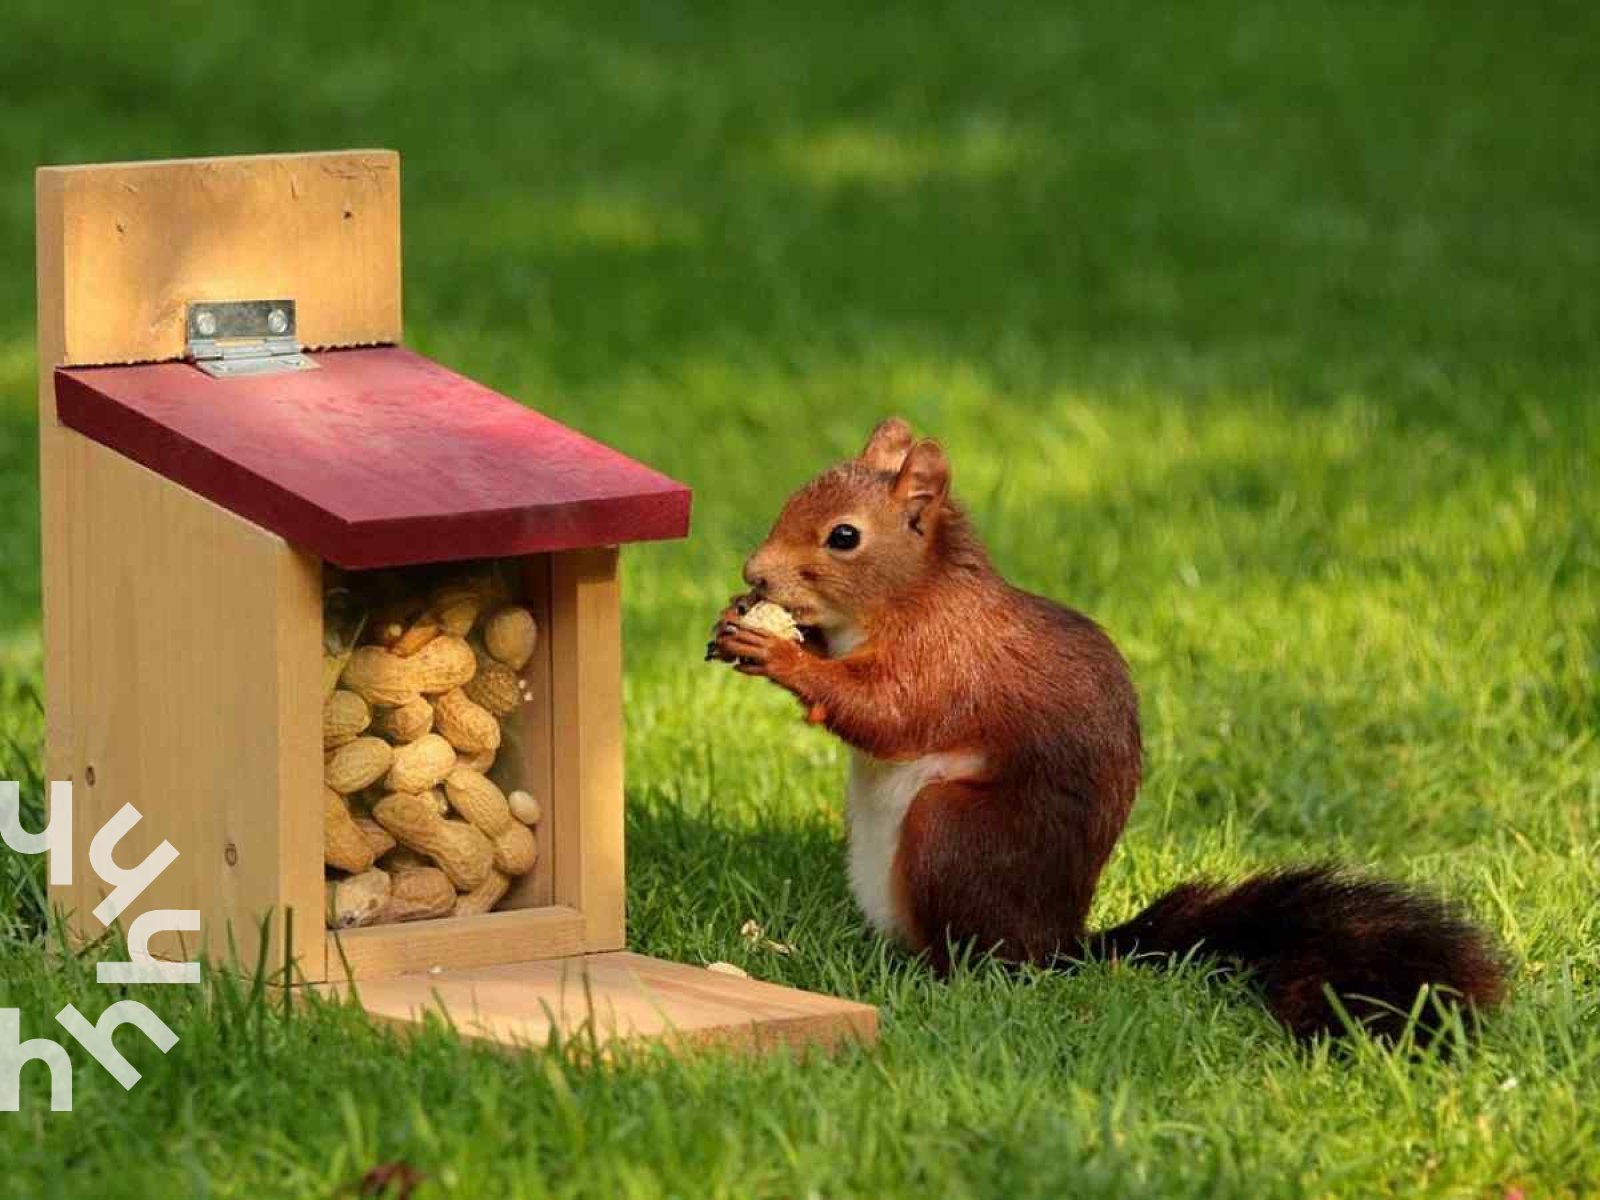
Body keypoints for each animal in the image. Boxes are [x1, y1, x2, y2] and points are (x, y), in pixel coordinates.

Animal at [707, 419, 1504, 1043]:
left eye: (844, 537)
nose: (755, 572)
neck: (913, 596)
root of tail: (1062, 945)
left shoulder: (948, 661)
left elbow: (885, 713)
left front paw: (779, 653)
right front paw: (748, 622)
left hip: (953, 833)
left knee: (983, 960)